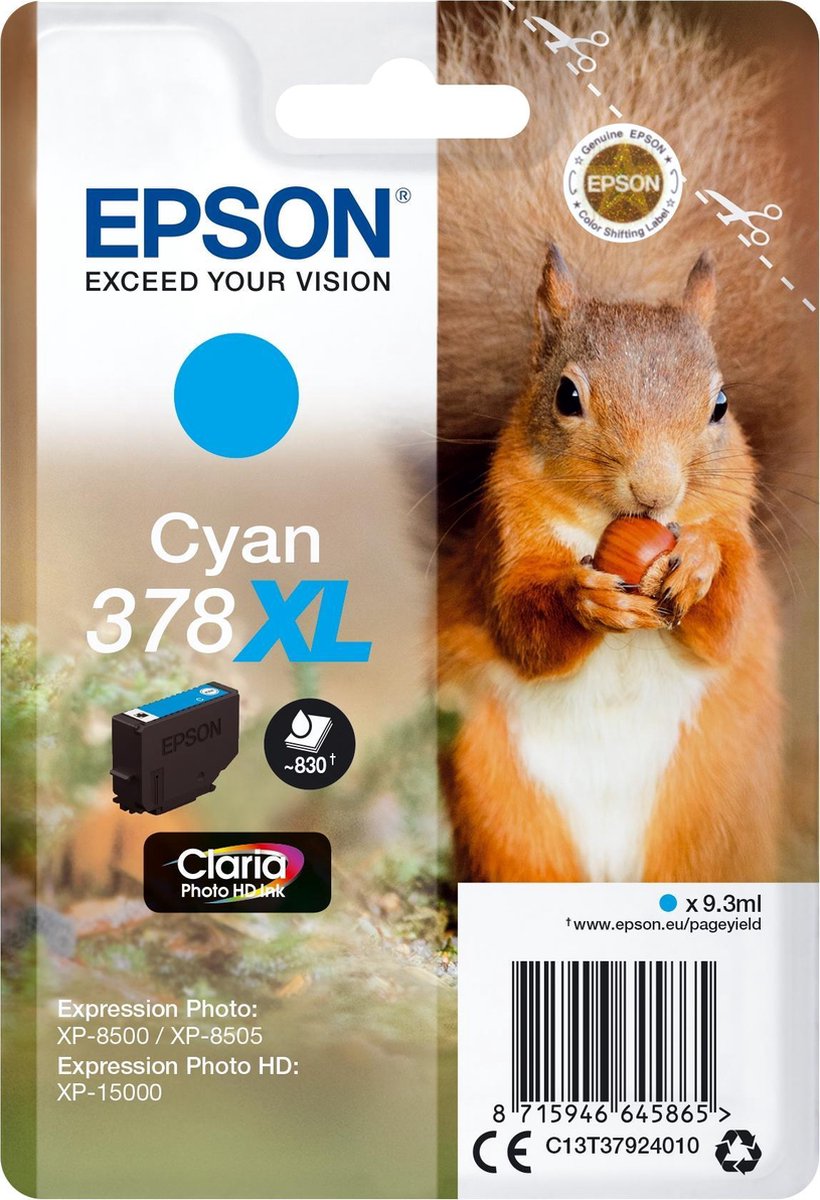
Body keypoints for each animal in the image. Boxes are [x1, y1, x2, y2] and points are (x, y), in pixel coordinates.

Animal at [436, 2, 812, 883]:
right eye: (567, 396)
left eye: (721, 404)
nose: (656, 492)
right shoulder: (504, 538)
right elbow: (522, 623)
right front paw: (587, 598)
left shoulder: (737, 530)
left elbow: (729, 617)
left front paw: (699, 564)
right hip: (503, 808)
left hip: (712, 812)